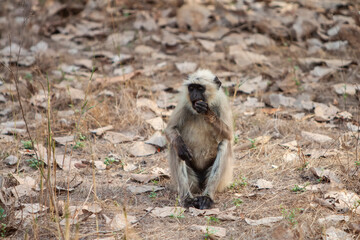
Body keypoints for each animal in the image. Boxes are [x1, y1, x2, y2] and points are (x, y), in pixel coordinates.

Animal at [165, 68, 235, 209]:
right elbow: (170, 130)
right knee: (176, 148)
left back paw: (207, 197)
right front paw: (181, 146)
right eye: (191, 88)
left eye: (200, 88)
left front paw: (207, 112)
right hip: (193, 183)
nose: (194, 94)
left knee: (224, 143)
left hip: (222, 180)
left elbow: (229, 134)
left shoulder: (221, 102)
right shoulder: (183, 102)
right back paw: (187, 198)